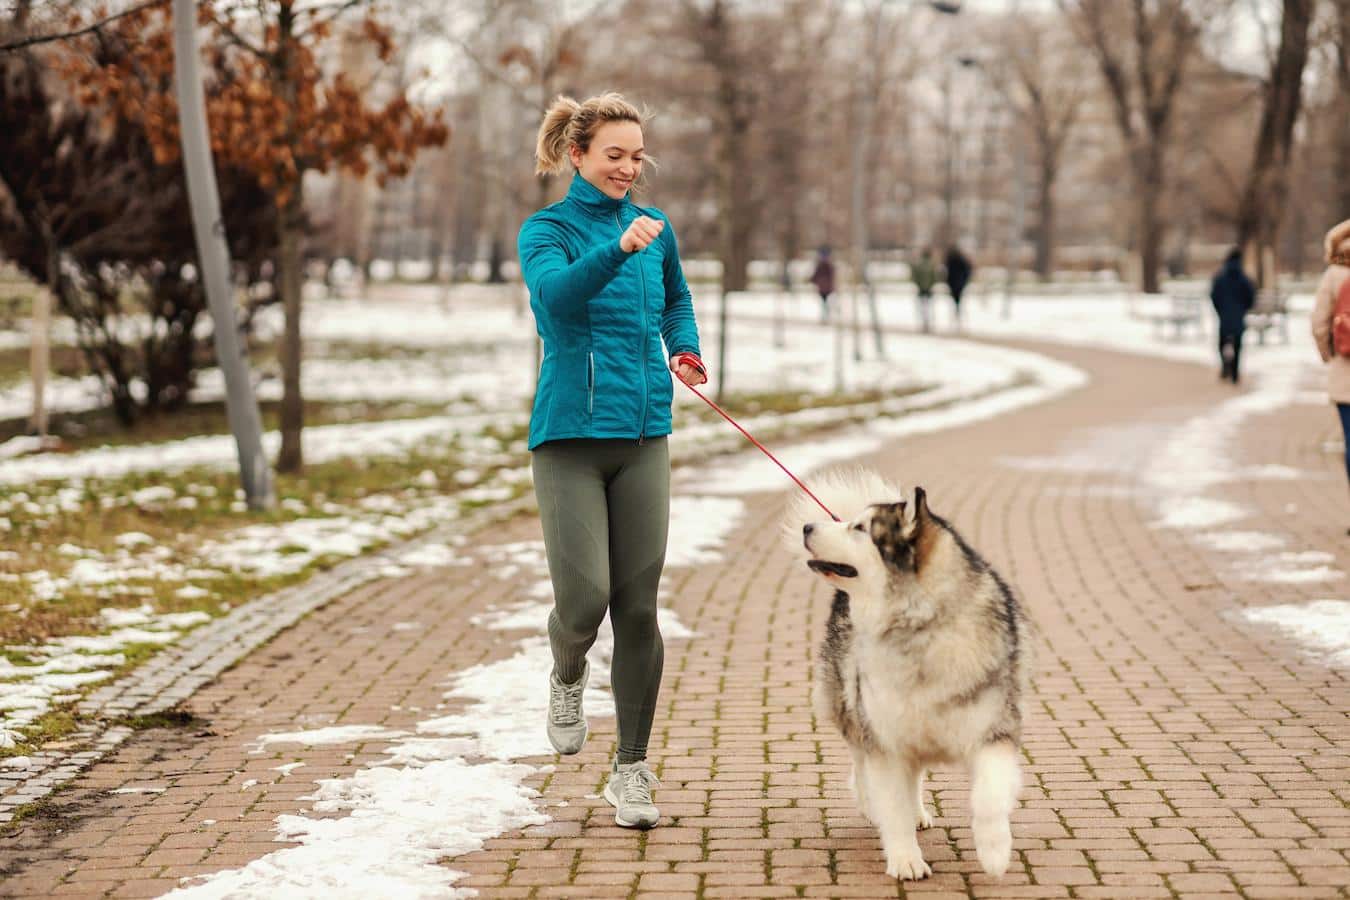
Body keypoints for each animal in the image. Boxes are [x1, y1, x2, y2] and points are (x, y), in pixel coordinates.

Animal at [788, 469, 1026, 885]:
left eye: (859, 528)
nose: (808, 526)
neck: (921, 626)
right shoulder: (885, 740)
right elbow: (891, 803)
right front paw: (905, 859)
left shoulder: (993, 731)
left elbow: (989, 797)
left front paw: (995, 852)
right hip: (852, 706)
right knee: (862, 766)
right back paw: (872, 804)